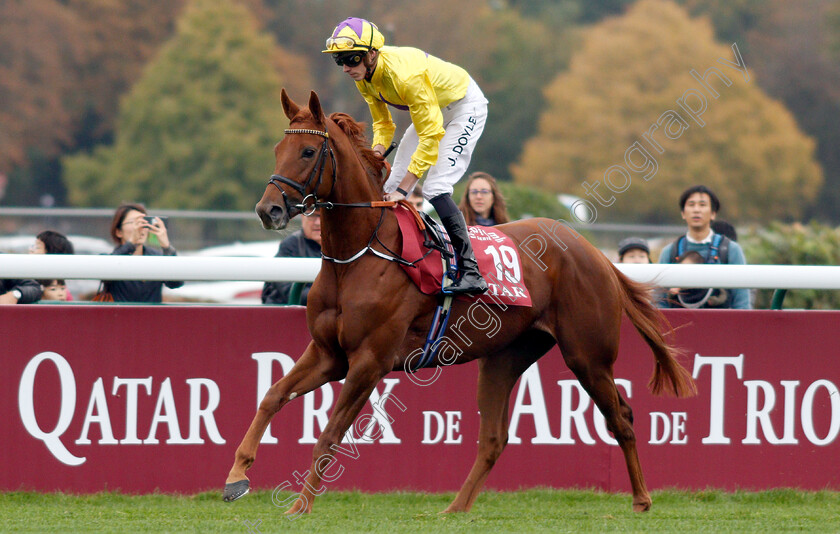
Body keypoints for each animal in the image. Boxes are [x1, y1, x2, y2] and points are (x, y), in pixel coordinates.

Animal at [223, 91, 696, 516]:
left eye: (307, 151)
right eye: (277, 149)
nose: (268, 209)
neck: (358, 256)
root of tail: (594, 253)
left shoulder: (369, 361)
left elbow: (329, 434)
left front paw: (299, 505)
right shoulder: (328, 354)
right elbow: (271, 397)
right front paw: (236, 478)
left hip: (588, 354)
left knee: (622, 416)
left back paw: (641, 499)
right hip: (504, 357)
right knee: (494, 438)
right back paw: (455, 508)